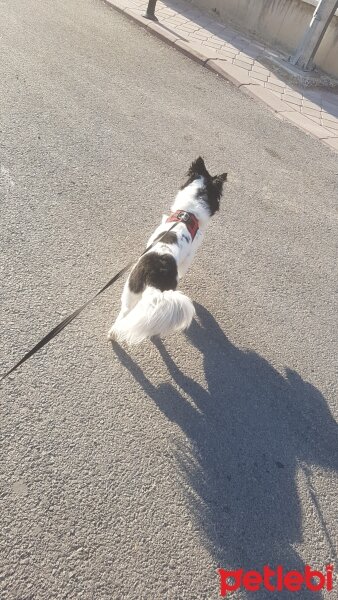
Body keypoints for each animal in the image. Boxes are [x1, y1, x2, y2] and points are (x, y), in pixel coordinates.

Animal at [108, 157, 228, 344]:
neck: (187, 213)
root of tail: (153, 275)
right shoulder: (189, 257)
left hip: (130, 293)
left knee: (123, 318)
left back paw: (114, 334)